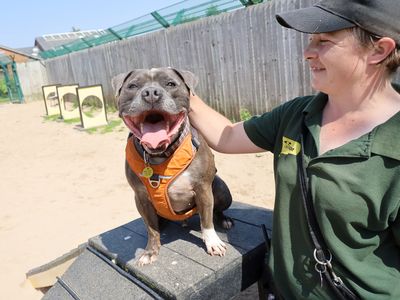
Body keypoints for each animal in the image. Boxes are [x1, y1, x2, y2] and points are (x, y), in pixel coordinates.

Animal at [111, 67, 233, 264]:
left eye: (170, 84)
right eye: (133, 86)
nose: (151, 93)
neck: (160, 155)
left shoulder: (203, 189)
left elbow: (206, 221)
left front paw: (213, 243)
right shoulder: (141, 198)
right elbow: (151, 229)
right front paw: (150, 251)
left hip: (222, 189)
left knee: (215, 211)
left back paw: (224, 220)